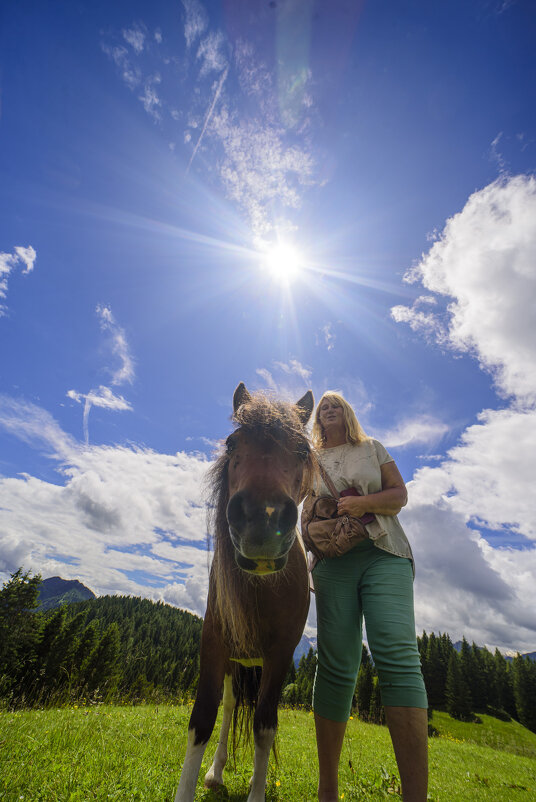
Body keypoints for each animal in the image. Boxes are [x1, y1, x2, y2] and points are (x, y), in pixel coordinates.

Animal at [175, 382, 314, 800]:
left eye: (303, 451)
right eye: (232, 443)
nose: (263, 519)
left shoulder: (281, 654)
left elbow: (265, 726)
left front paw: (258, 789)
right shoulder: (214, 643)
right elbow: (202, 720)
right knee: (231, 706)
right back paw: (216, 772)